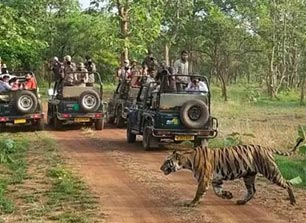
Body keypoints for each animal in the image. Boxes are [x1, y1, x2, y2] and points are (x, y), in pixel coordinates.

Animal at [160, 138, 304, 207]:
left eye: (167, 161)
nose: (160, 168)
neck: (186, 160)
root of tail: (265, 147)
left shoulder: (204, 179)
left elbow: (198, 193)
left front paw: (192, 203)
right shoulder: (216, 179)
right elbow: (217, 192)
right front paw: (228, 195)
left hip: (271, 171)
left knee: (288, 183)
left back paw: (293, 201)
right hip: (249, 176)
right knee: (252, 190)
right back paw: (241, 202)